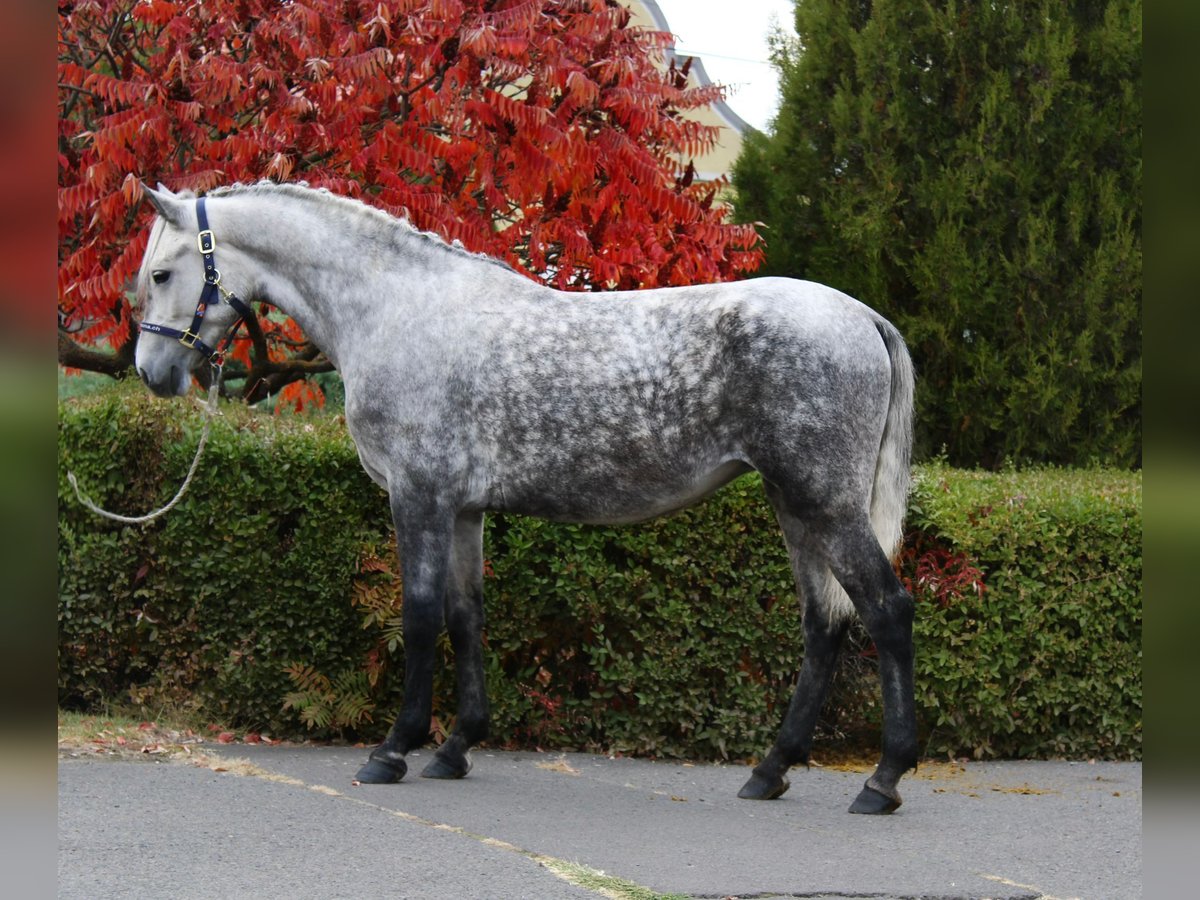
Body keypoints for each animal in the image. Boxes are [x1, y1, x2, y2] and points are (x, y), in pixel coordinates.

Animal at [133, 181, 917, 814]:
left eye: (163, 273)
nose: (152, 372)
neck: (396, 308)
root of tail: (863, 318)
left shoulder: (418, 497)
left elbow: (420, 617)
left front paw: (393, 750)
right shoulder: (463, 511)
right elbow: (465, 617)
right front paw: (455, 749)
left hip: (825, 504)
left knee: (885, 609)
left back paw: (881, 781)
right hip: (794, 505)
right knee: (823, 623)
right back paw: (770, 770)